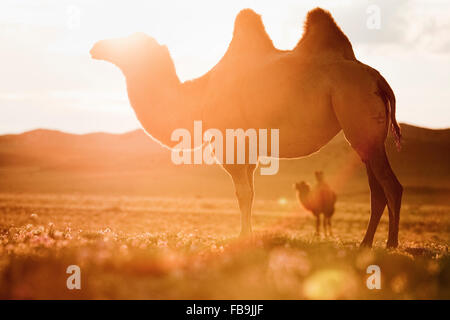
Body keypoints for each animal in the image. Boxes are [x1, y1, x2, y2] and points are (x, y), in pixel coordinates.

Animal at [89, 6, 402, 248]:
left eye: (133, 41)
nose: (96, 46)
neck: (200, 97)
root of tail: (379, 80)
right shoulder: (249, 150)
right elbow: (250, 193)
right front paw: (248, 234)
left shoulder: (231, 144)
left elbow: (243, 193)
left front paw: (242, 237)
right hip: (367, 138)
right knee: (377, 189)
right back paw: (366, 243)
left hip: (359, 118)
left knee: (391, 186)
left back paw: (390, 243)